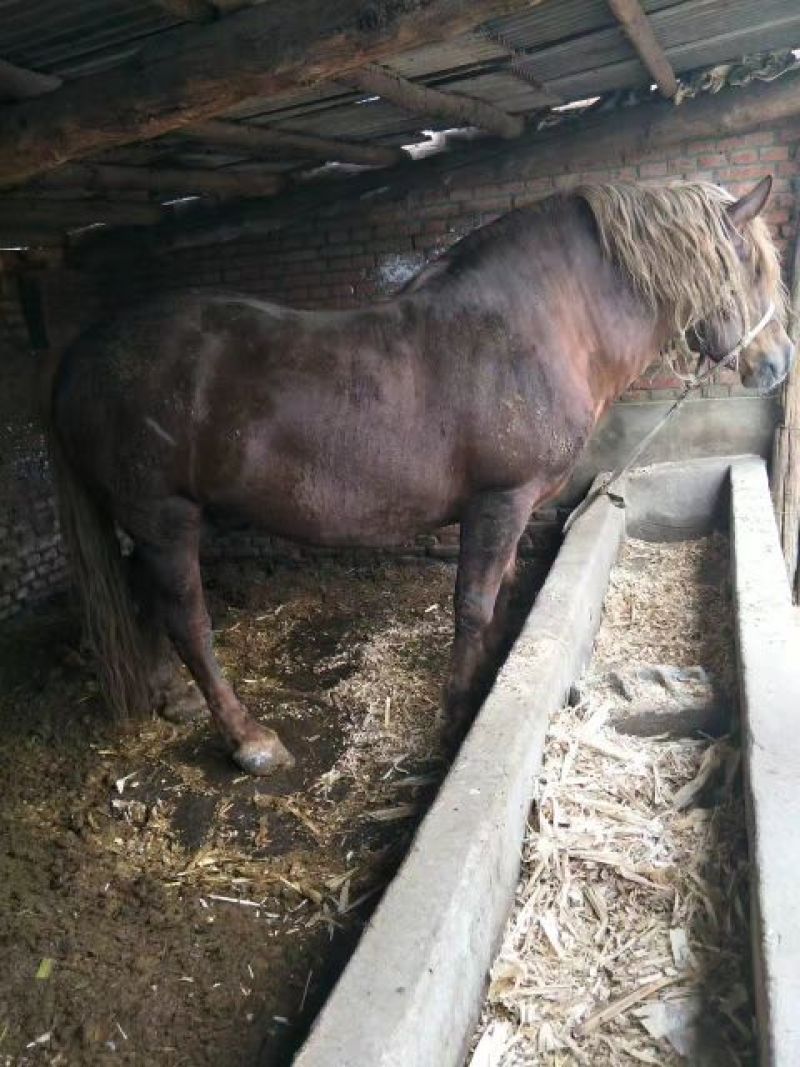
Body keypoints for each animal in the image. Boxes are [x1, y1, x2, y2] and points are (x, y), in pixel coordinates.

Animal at [48, 175, 793, 776]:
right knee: (189, 620)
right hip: (164, 516)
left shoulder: (514, 509)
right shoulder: (499, 501)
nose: (780, 362)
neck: (532, 329)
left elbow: (499, 593)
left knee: (148, 601)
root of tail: (82, 355)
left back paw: (171, 697)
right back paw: (248, 738)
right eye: (751, 265)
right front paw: (459, 710)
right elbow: (473, 603)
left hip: (155, 521)